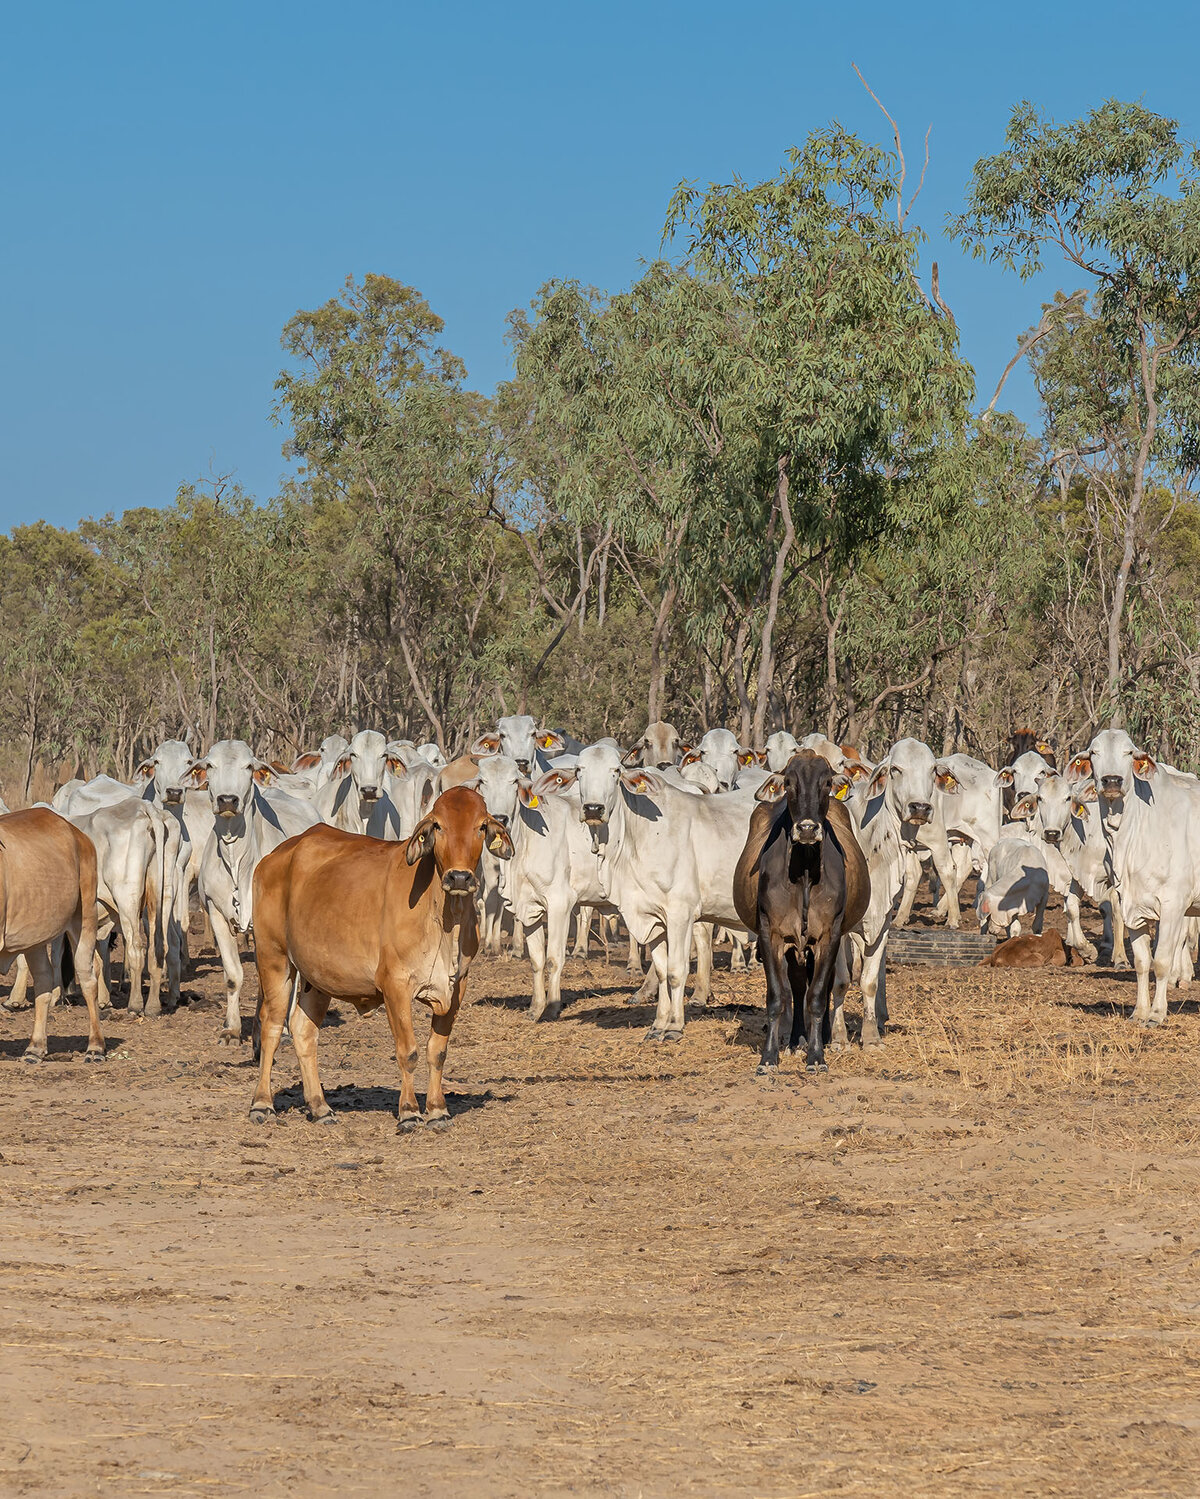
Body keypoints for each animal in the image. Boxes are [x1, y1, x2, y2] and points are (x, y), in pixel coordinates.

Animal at [0, 808, 105, 1062]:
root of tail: (79, 835)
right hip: (35, 937)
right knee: (44, 980)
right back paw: (35, 1047)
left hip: (85, 916)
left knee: (88, 976)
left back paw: (96, 1047)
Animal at [249, 787, 513, 1129]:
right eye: (438, 826)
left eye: (481, 826)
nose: (459, 878)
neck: (445, 919)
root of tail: (275, 855)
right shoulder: (395, 985)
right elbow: (408, 1051)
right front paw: (409, 1111)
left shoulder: (457, 986)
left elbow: (437, 1051)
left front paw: (437, 1110)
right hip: (274, 958)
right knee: (271, 1024)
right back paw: (262, 1103)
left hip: (316, 977)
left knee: (303, 1030)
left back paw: (320, 1107)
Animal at [734, 752, 869, 1074]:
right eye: (788, 783)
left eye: (827, 782)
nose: (807, 829)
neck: (805, 871)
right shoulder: (770, 934)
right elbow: (776, 997)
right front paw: (769, 1057)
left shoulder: (829, 935)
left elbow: (818, 995)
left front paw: (817, 1056)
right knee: (796, 987)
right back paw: (797, 1039)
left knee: (821, 985)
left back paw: (822, 1038)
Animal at [1073, 729, 1200, 1025]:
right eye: (1094, 752)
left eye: (1129, 752)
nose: (1111, 780)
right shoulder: (1130, 903)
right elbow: (1143, 962)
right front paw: (1139, 1012)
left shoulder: (1174, 904)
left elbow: (1162, 961)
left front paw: (1156, 1013)